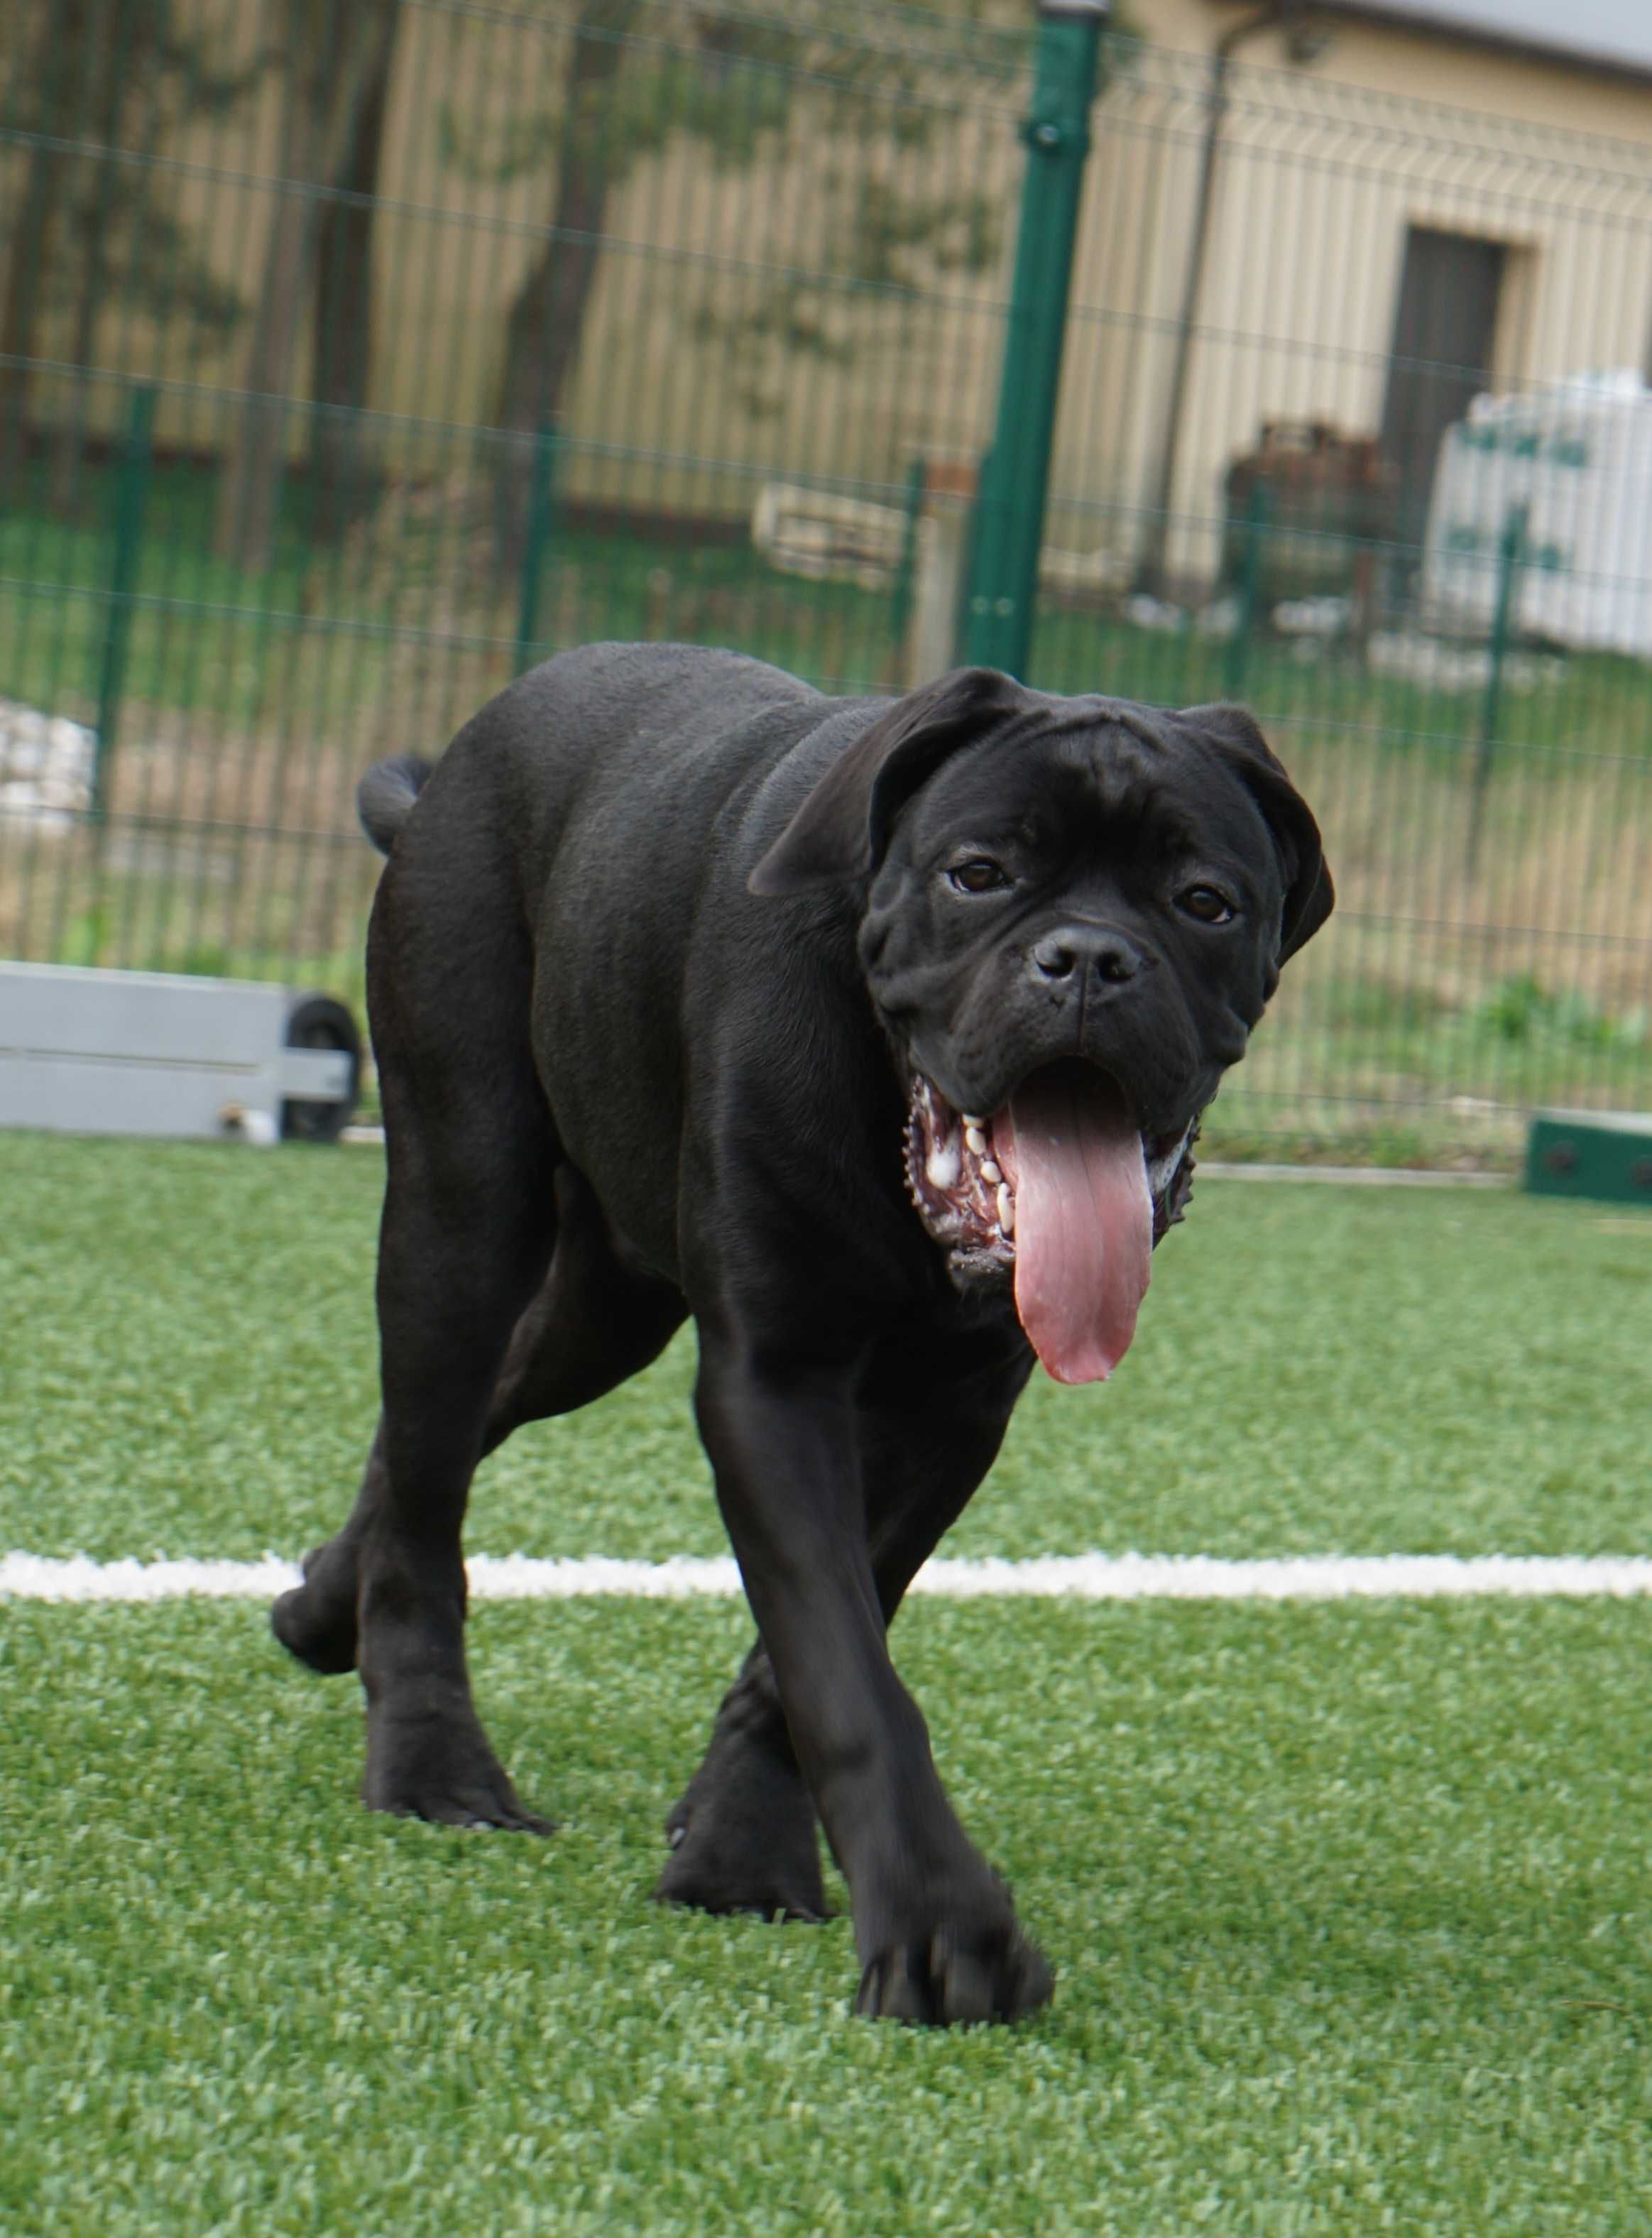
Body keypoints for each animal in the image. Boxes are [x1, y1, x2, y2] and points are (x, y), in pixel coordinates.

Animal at [270, 644, 1325, 2032]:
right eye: (977, 873)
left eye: (1203, 901)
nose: (1090, 959)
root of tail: (469, 742)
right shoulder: (774, 1375)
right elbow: (839, 1655)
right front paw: (937, 1927)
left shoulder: (950, 1411)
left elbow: (821, 1638)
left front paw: (736, 1853)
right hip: (461, 1205)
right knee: (433, 1465)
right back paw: (434, 1767)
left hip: (600, 1306)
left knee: (440, 1431)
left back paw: (317, 1605)